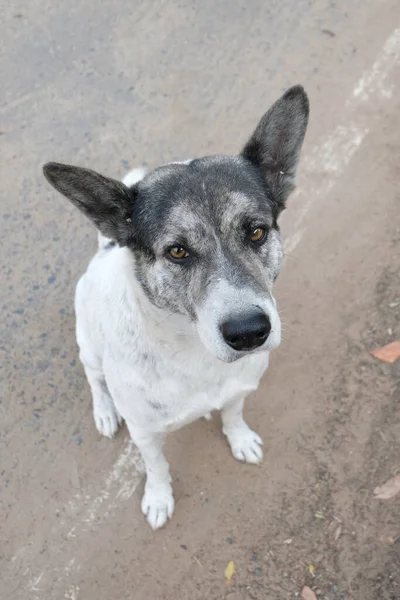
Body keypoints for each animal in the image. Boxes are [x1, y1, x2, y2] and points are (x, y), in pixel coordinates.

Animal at [43, 85, 310, 528]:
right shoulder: (146, 433)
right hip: (89, 345)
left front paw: (239, 438)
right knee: (94, 377)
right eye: (178, 251)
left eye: (256, 231)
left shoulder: (239, 389)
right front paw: (158, 498)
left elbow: (233, 413)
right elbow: (157, 467)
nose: (249, 333)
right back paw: (104, 411)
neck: (194, 354)